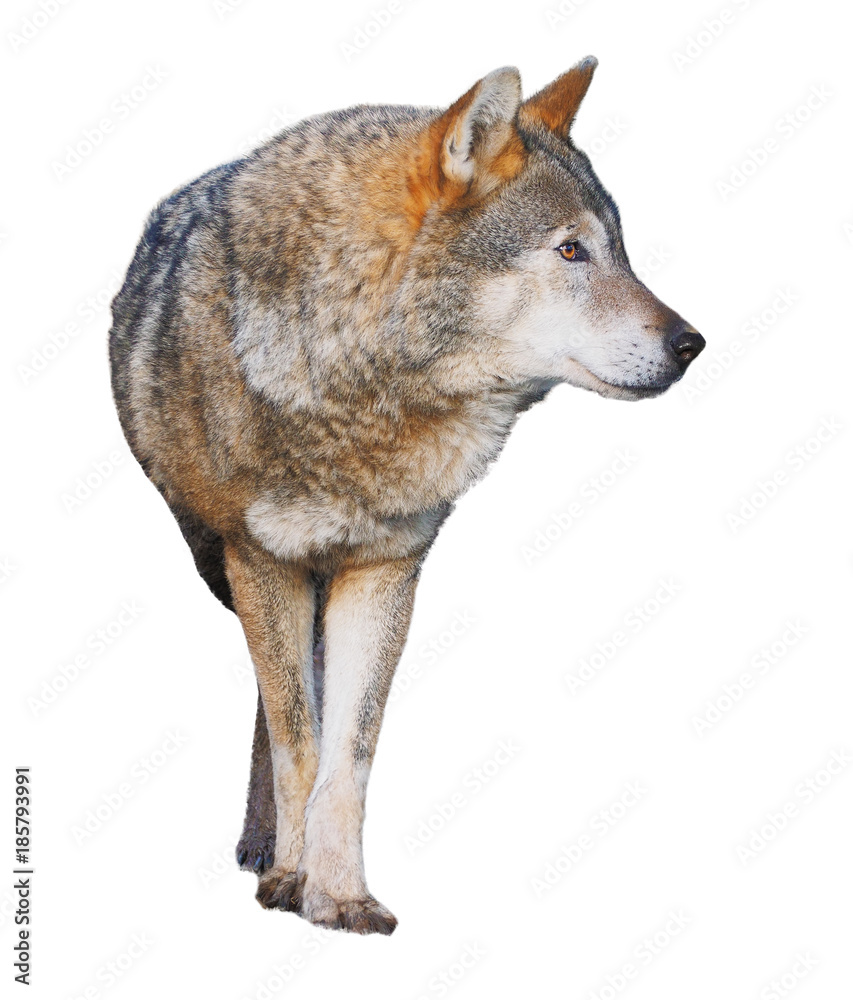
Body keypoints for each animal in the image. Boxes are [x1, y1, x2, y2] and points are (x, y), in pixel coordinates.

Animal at [109, 58, 704, 935]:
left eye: (619, 252)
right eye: (570, 250)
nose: (690, 344)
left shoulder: (388, 569)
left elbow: (348, 753)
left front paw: (340, 894)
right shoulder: (263, 563)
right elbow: (299, 740)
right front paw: (291, 880)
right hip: (219, 567)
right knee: (270, 701)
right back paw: (262, 847)